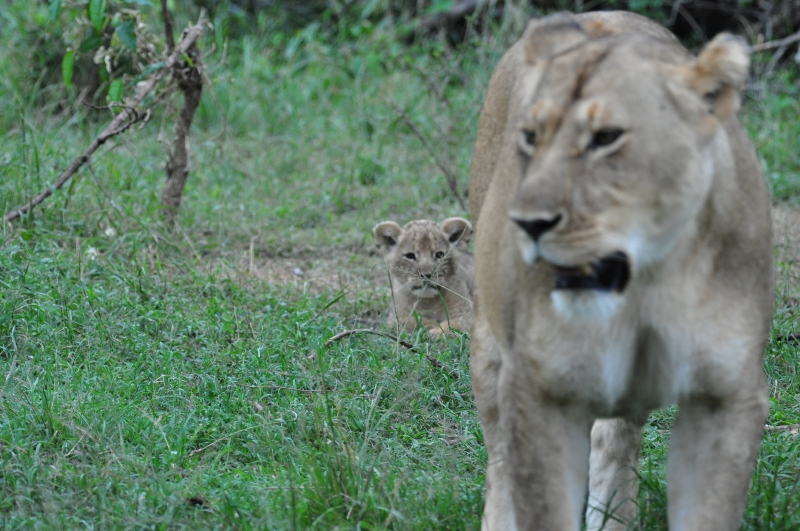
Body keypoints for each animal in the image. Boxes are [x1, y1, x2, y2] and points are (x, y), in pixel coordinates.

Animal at [468, 11, 773, 531]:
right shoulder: (538, 391)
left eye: (606, 138)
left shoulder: (727, 396)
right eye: (531, 137)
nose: (527, 224)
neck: (649, 284)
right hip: (491, 349)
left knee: (613, 444)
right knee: (501, 461)